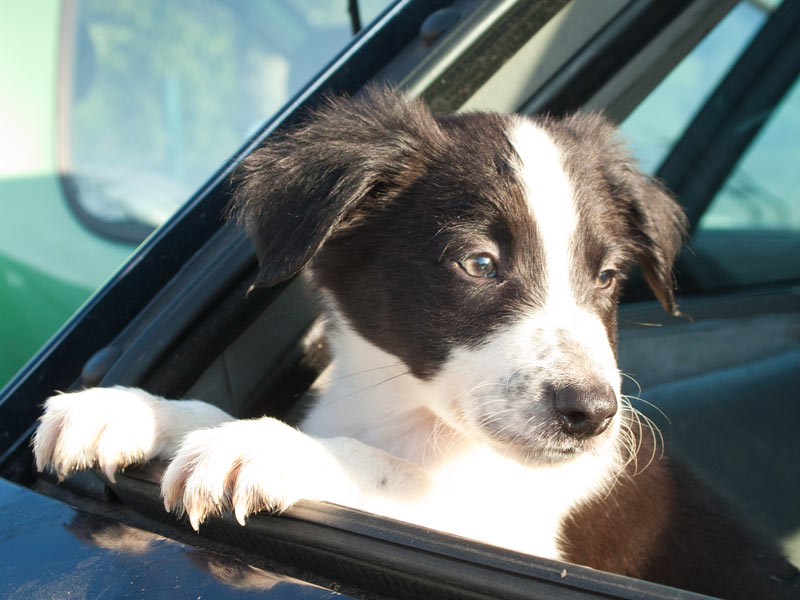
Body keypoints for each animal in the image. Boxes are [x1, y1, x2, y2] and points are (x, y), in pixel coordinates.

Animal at [31, 86, 792, 596]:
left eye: (606, 277)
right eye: (479, 264)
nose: (593, 416)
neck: (414, 417)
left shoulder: (516, 538)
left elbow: (392, 472)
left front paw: (268, 447)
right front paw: (129, 410)